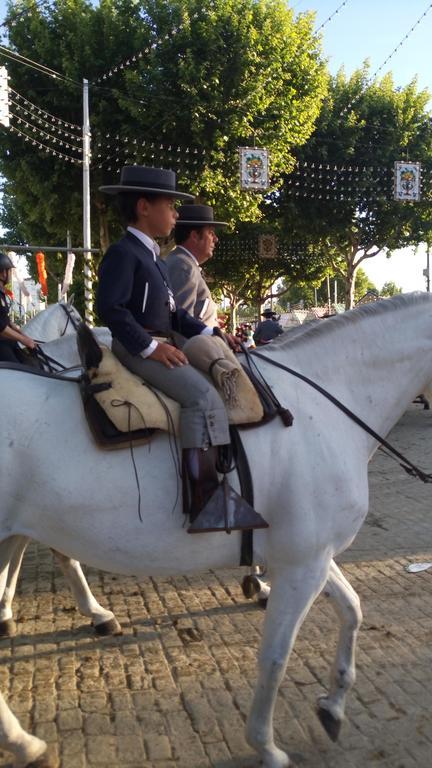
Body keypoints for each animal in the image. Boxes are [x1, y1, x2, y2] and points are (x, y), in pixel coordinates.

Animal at [1, 292, 430, 764]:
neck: (321, 406)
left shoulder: (309, 557)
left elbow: (352, 610)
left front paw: (333, 705)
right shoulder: (303, 565)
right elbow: (275, 657)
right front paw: (266, 745)